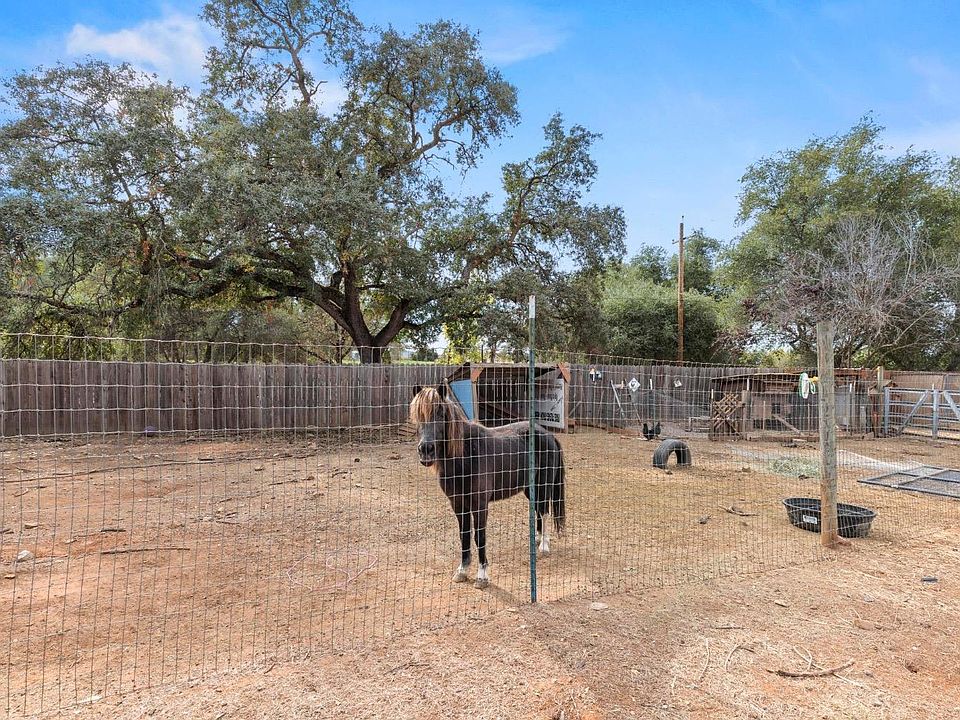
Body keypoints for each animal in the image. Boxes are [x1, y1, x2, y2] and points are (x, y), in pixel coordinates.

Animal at [409, 383, 566, 589]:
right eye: (417, 415)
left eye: (441, 413)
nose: (426, 450)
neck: (466, 456)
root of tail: (548, 434)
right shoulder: (458, 504)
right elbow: (464, 535)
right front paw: (462, 570)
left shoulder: (480, 505)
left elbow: (480, 536)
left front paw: (482, 576)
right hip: (529, 488)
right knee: (537, 511)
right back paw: (537, 539)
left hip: (543, 485)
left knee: (543, 511)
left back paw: (544, 546)